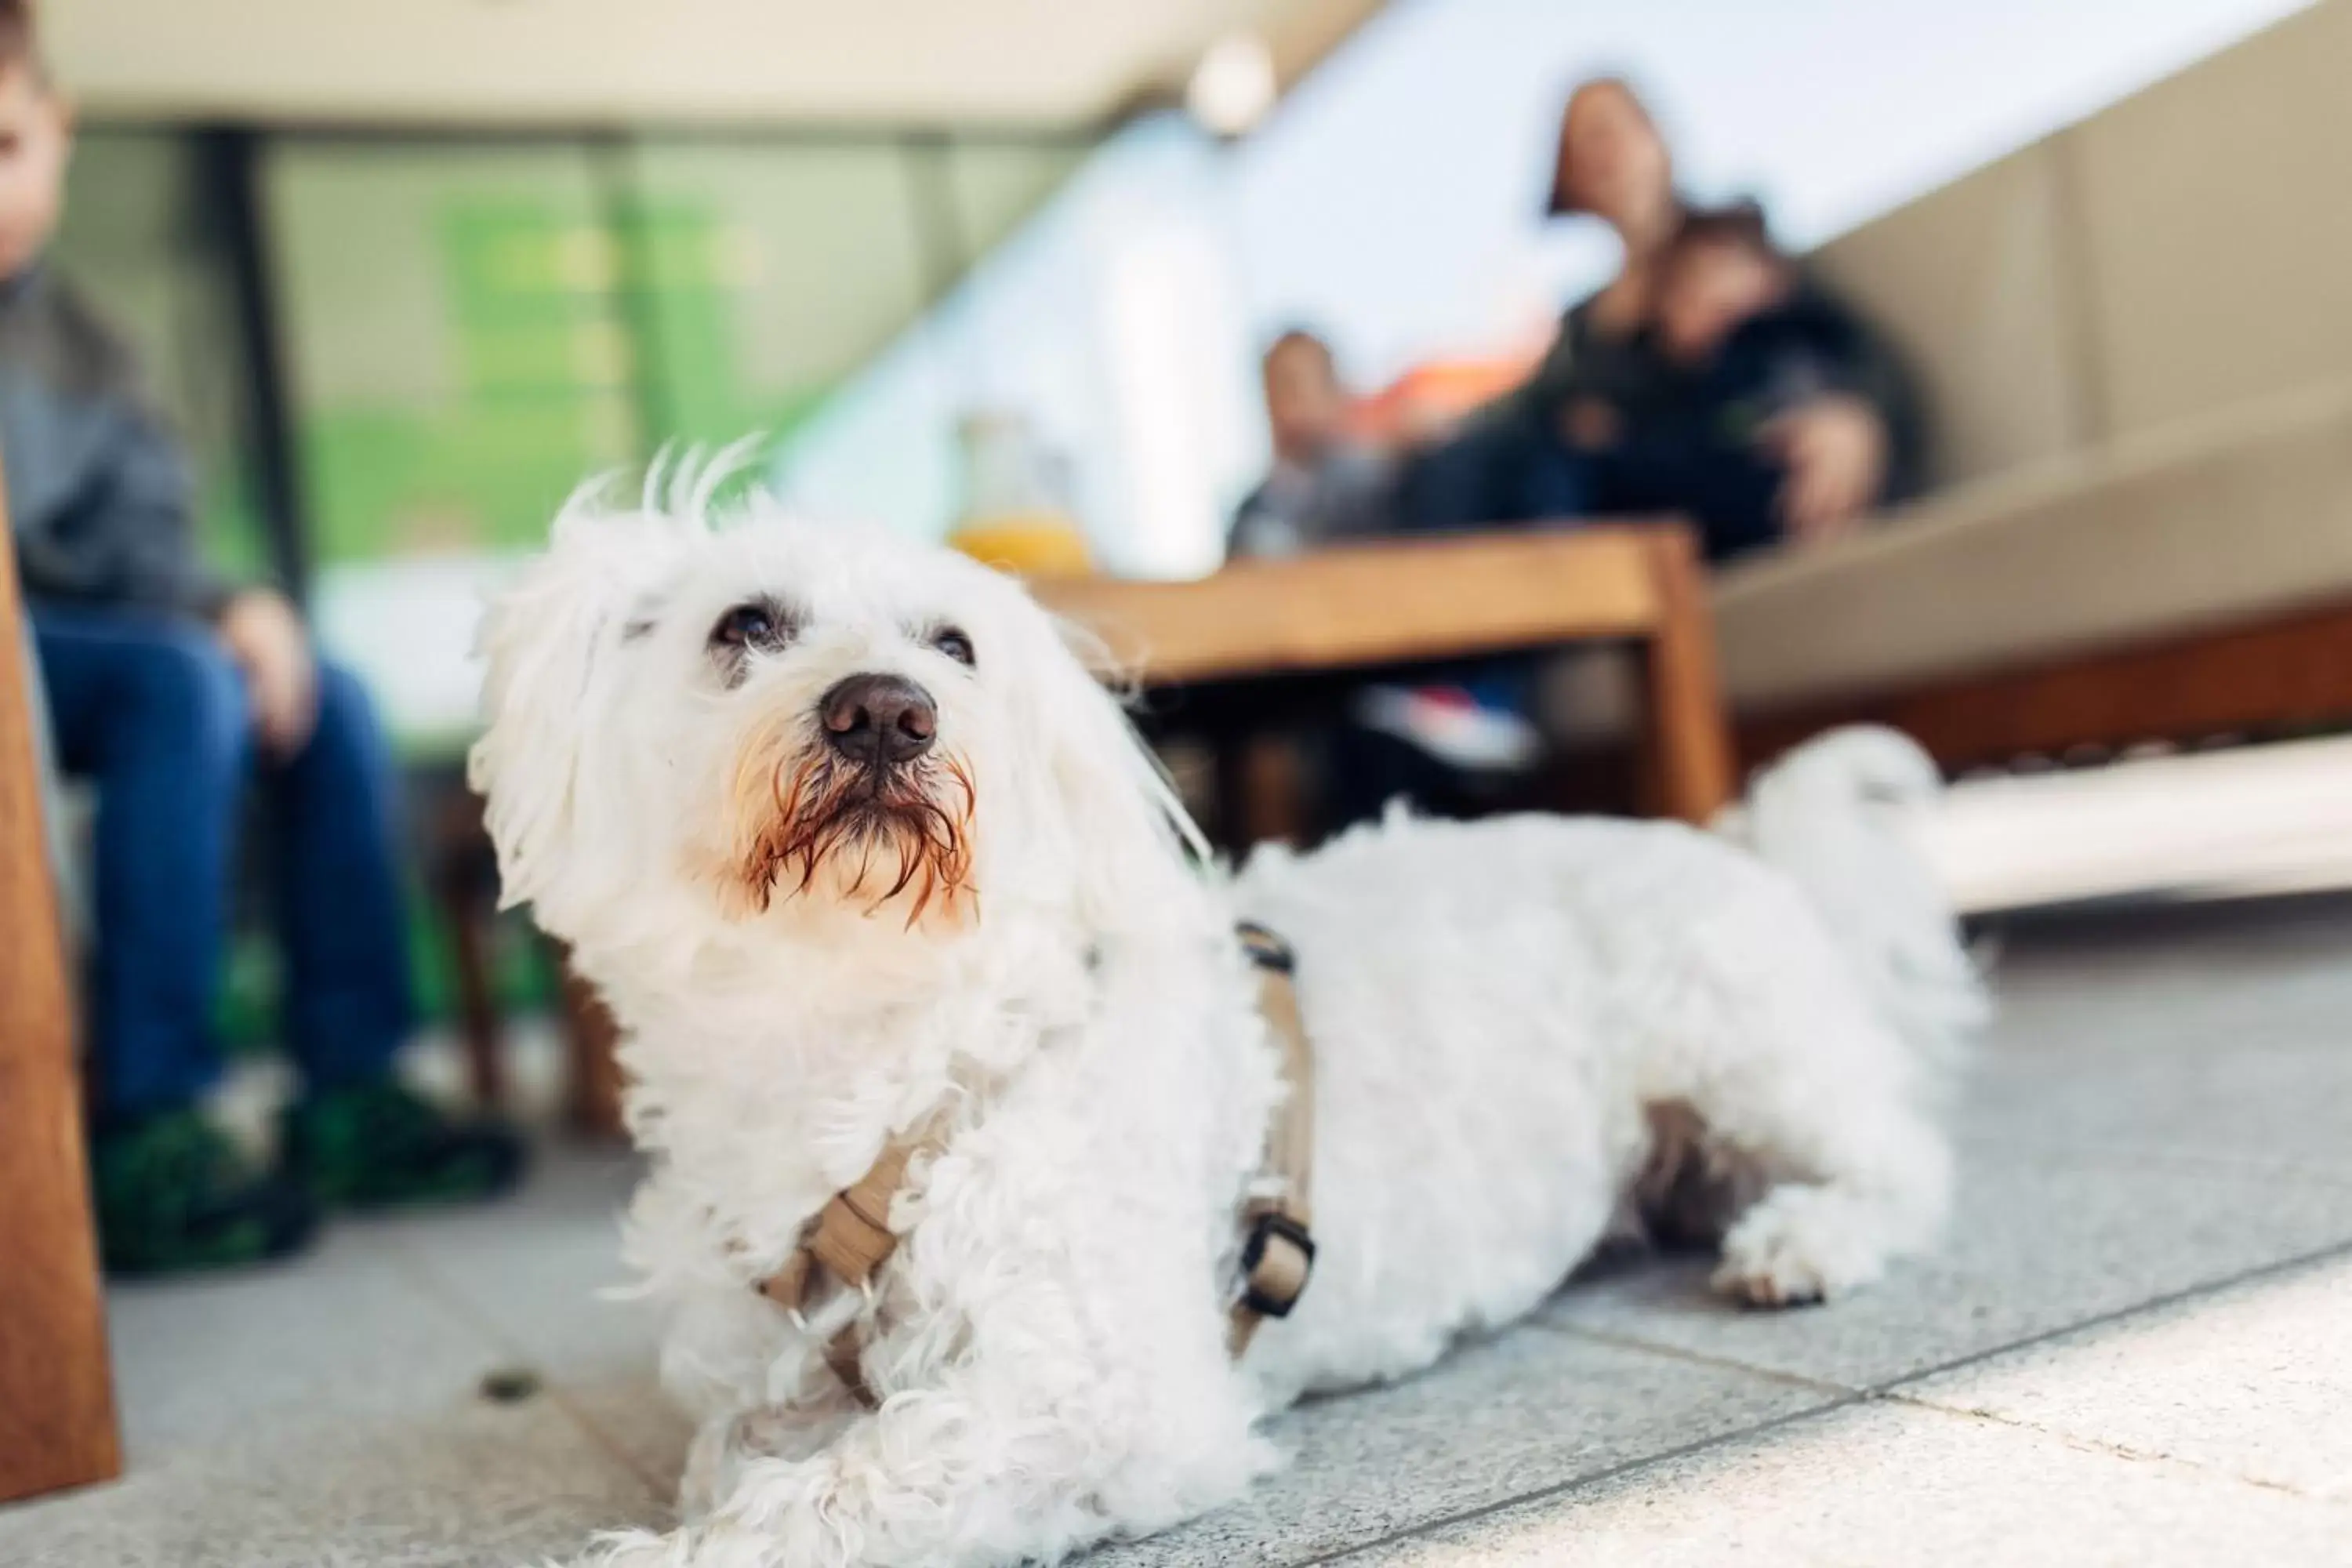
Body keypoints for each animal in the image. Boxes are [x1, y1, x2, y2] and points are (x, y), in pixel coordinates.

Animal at [477, 479, 1985, 1568]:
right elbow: (742, 1454)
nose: (887, 713)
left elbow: (836, 1495)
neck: (873, 1053)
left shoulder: (1106, 1399)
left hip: (1739, 1041)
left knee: (1906, 1160)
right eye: (742, 627)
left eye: (953, 646)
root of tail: (1749, 854)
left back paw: (1807, 1239)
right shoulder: (761, 1374)